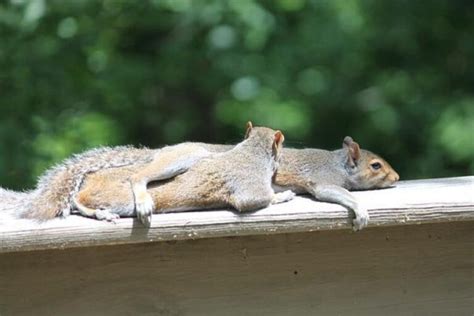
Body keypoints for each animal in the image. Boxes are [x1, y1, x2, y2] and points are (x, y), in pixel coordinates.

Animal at [73, 121, 296, 225]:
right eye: (282, 145)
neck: (251, 150)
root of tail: (92, 180)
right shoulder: (250, 184)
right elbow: (259, 199)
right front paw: (284, 195)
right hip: (123, 198)